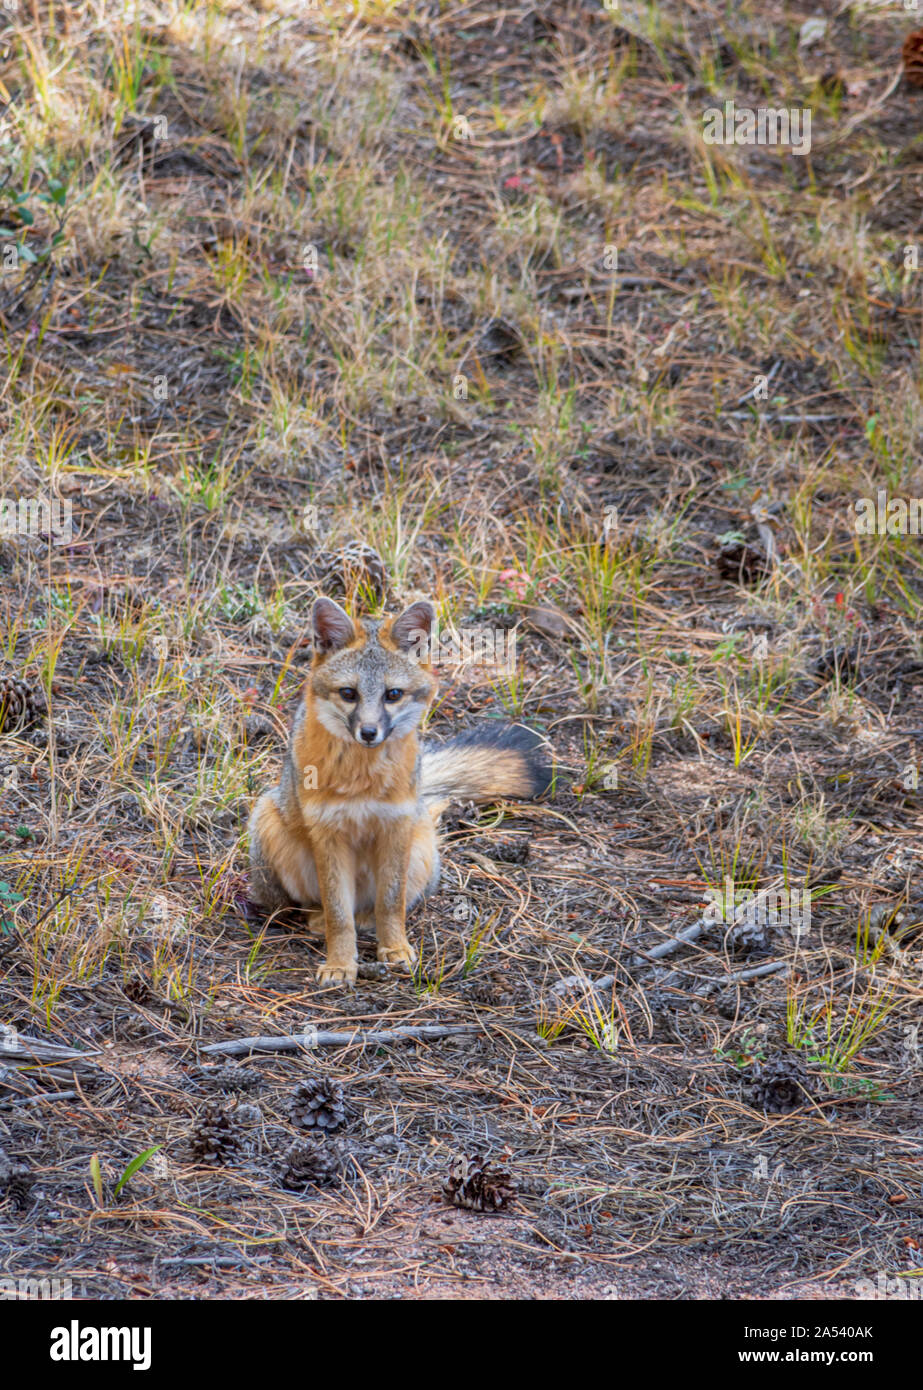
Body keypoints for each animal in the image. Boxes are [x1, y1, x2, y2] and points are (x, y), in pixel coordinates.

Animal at [244, 592, 550, 984]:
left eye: (392, 694)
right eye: (349, 693)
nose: (369, 732)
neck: (362, 780)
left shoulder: (395, 828)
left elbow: (391, 904)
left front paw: (394, 949)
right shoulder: (328, 834)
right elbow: (338, 914)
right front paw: (340, 964)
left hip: (417, 849)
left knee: (379, 907)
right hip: (270, 825)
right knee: (319, 907)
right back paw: (319, 922)